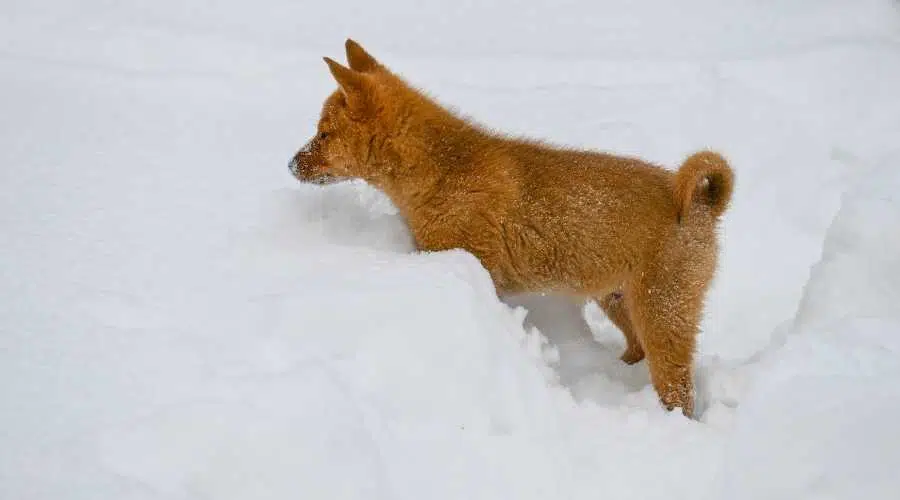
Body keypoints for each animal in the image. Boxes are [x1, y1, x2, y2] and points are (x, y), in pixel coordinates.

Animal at [292, 39, 736, 416]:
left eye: (324, 133)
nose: (290, 164)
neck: (443, 172)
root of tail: (704, 206)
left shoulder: (477, 265)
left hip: (662, 314)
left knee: (679, 389)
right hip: (617, 301)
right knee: (636, 352)